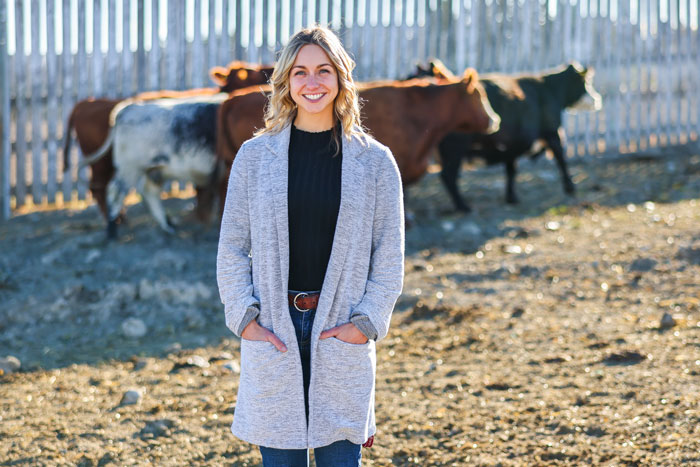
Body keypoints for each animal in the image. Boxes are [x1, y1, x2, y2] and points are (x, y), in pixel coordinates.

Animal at [410, 59, 600, 212]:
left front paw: (511, 197)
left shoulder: (512, 145)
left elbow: (511, 169)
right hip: (455, 149)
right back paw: (463, 206)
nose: (597, 100)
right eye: (586, 82)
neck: (548, 88)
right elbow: (560, 158)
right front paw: (570, 187)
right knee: (448, 176)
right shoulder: (552, 132)